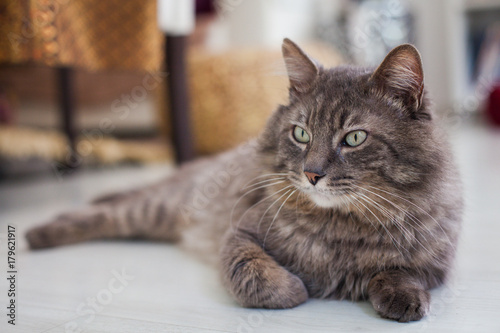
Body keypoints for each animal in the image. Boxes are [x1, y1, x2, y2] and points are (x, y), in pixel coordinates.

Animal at [25, 39, 462, 322]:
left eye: (354, 138)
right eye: (301, 134)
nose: (312, 174)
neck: (343, 228)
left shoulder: (435, 260)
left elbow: (401, 270)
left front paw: (403, 296)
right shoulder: (240, 233)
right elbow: (257, 277)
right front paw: (297, 288)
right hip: (157, 210)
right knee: (107, 212)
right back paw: (38, 234)